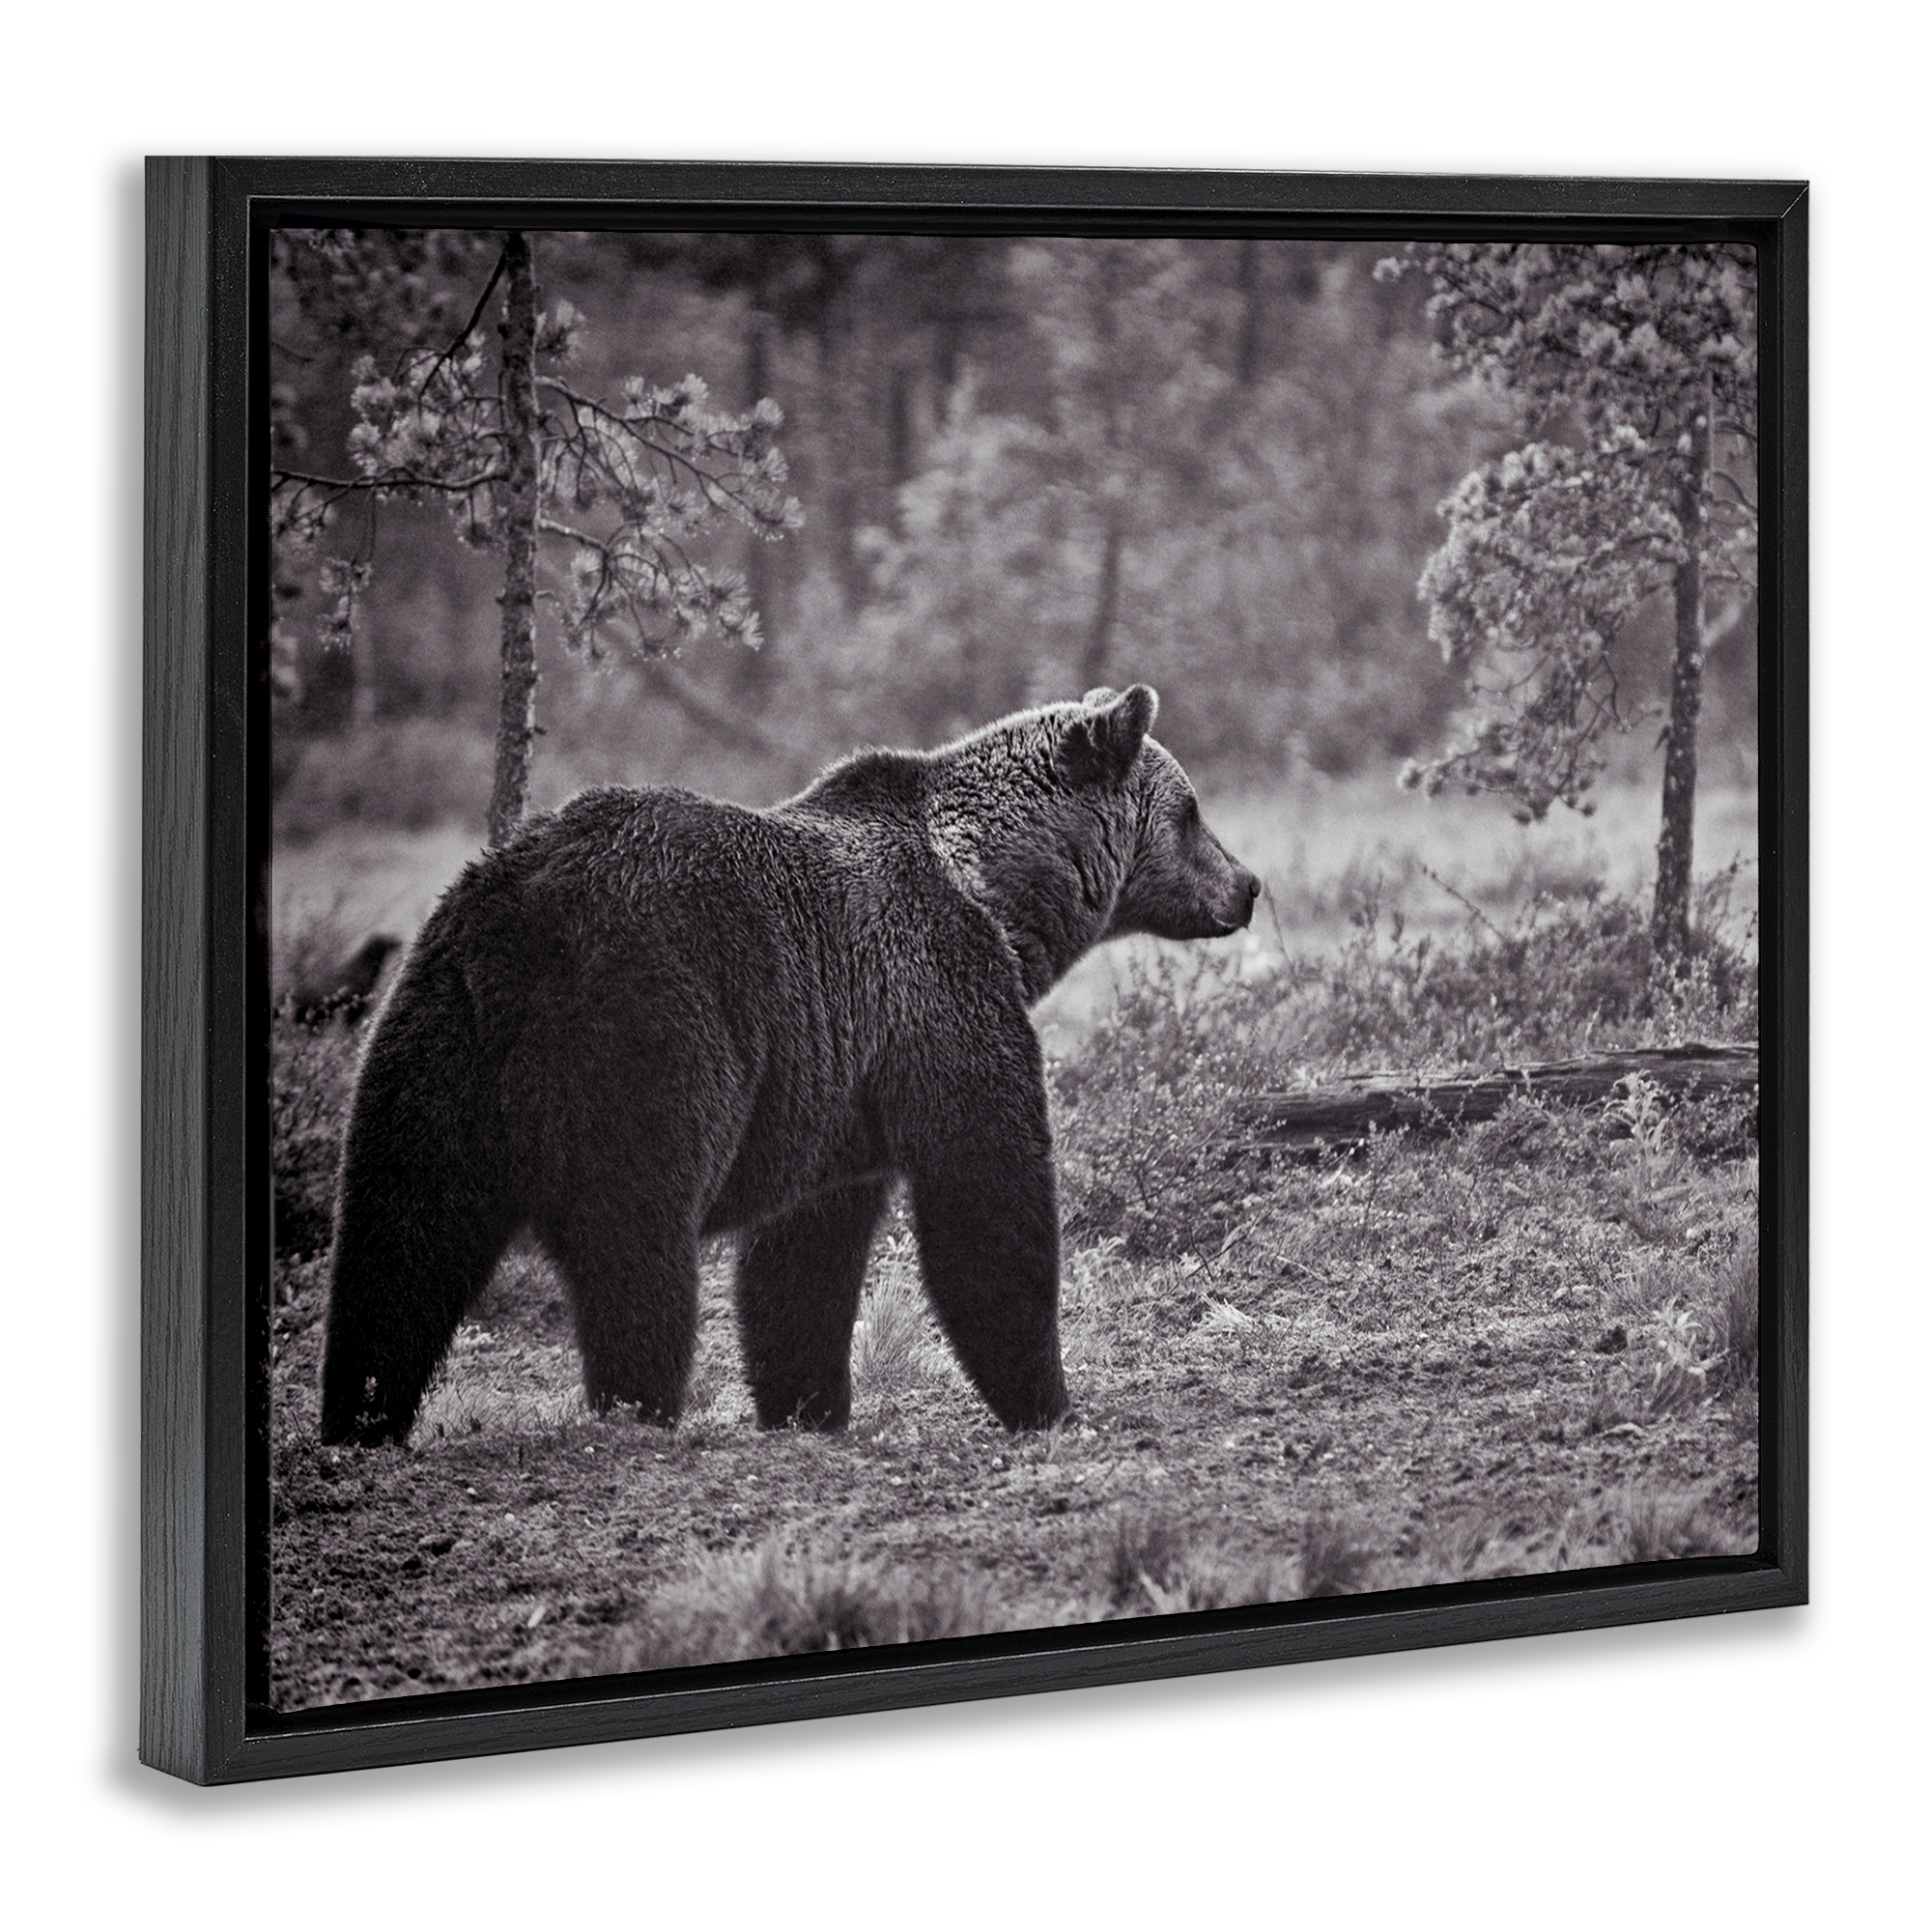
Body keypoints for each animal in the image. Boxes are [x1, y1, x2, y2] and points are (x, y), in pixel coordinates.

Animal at [318, 684, 1259, 1447]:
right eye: (1191, 811)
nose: (1248, 884)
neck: (996, 895)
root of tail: (526, 918)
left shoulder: (838, 1085)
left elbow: (804, 1257)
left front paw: (808, 1405)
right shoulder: (938, 995)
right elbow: (986, 1191)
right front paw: (1050, 1402)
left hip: (435, 1036)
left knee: (399, 1236)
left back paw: (360, 1417)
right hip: (652, 1027)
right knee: (635, 1238)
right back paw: (637, 1406)